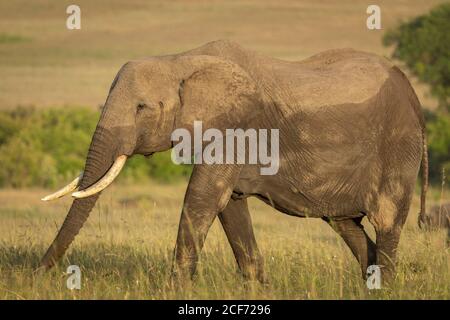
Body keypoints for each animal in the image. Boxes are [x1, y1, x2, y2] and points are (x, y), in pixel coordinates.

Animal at [40, 40, 428, 284]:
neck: (182, 60)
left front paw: (174, 290)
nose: (39, 273)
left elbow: (202, 198)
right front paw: (258, 288)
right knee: (345, 224)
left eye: (141, 108)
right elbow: (229, 206)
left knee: (386, 221)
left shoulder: (234, 129)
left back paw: (386, 287)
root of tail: (411, 91)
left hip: (399, 144)